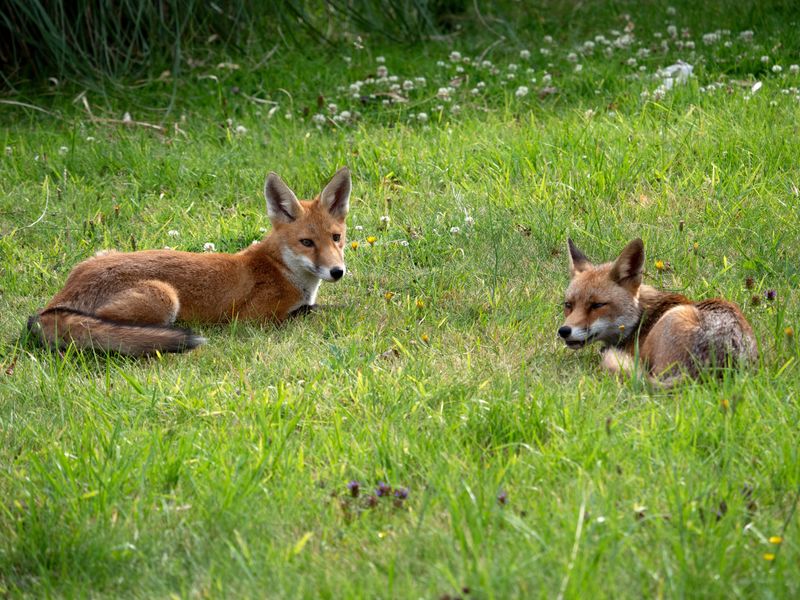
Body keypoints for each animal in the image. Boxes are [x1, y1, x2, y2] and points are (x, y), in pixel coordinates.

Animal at [26, 167, 352, 356]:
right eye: (307, 242)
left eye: (336, 238)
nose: (337, 272)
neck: (281, 269)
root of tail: (50, 307)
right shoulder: (255, 319)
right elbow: (318, 311)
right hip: (163, 298)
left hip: (104, 254)